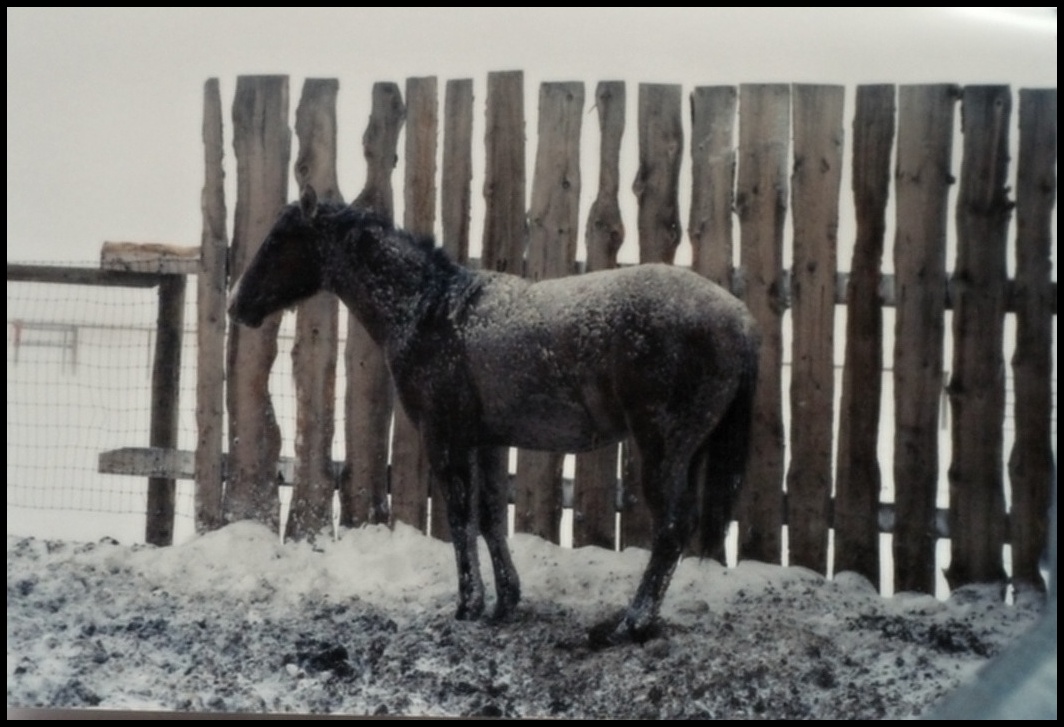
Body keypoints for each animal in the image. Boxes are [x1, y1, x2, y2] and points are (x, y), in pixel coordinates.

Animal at [229, 185, 761, 647]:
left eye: (278, 241)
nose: (238, 306)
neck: (429, 311)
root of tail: (739, 317)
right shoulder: (486, 441)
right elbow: (489, 517)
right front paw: (506, 600)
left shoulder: (444, 437)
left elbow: (460, 517)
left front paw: (469, 604)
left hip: (662, 448)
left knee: (671, 530)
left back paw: (629, 625)